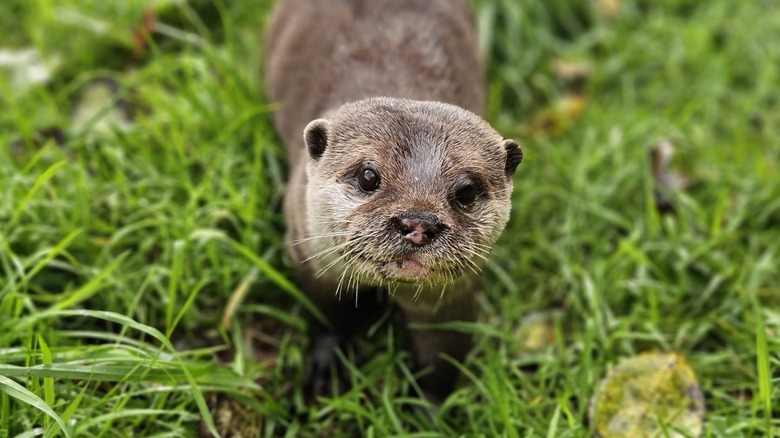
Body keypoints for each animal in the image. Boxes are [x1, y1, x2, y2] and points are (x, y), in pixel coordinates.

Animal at [264, 0, 524, 404]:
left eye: (466, 191)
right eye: (368, 176)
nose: (418, 223)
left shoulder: (451, 298)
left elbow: (442, 357)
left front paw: (429, 407)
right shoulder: (309, 252)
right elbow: (326, 314)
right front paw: (326, 368)